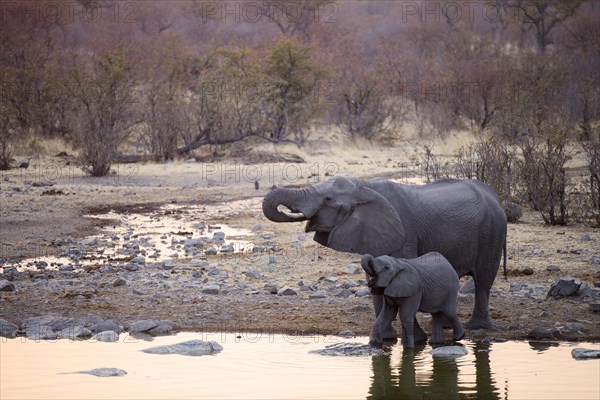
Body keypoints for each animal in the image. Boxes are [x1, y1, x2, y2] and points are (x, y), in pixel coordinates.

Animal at [262, 177, 506, 330]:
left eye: (328, 200)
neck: (364, 186)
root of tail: (494, 195)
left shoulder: (404, 232)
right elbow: (375, 279)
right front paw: (387, 338)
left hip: (492, 232)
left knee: (484, 280)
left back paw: (477, 327)